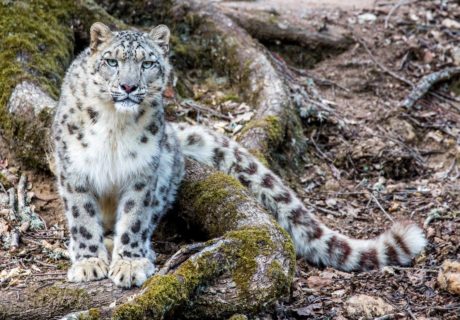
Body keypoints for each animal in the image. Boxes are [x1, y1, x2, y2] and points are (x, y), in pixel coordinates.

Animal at [52, 21, 426, 288]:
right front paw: (88, 262)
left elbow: (135, 219)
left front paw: (129, 263)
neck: (115, 126)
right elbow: (82, 218)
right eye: (112, 61)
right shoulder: (74, 170)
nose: (128, 86)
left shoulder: (142, 173)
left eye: (147, 63)